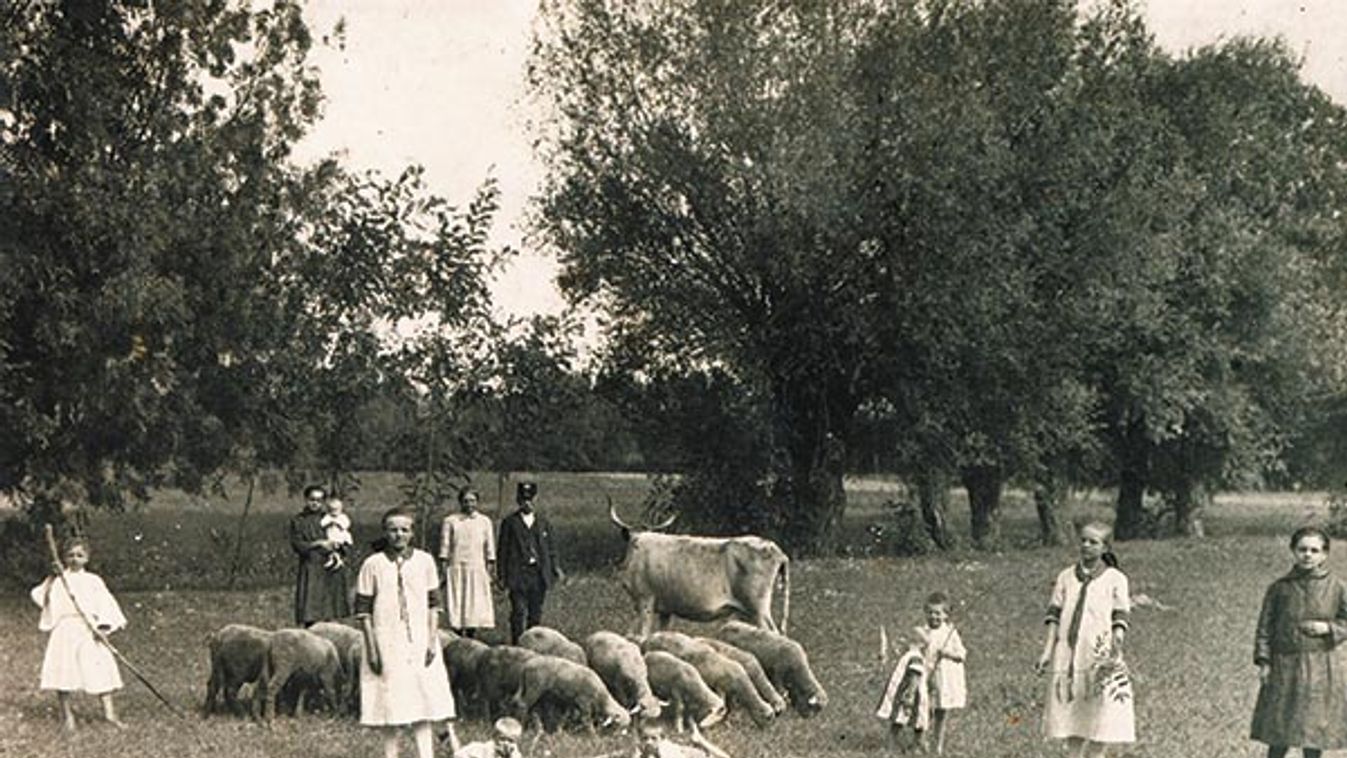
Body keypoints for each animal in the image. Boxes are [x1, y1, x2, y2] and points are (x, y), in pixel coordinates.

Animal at [608, 498, 786, 640]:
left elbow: (643, 633)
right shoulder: (665, 608)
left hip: (759, 609)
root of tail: (775, 549)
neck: (637, 546)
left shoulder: (645, 601)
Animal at [643, 632, 775, 727]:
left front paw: (727, 721)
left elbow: (729, 707)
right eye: (768, 719)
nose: (767, 732)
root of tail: (650, 637)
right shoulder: (719, 688)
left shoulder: (729, 692)